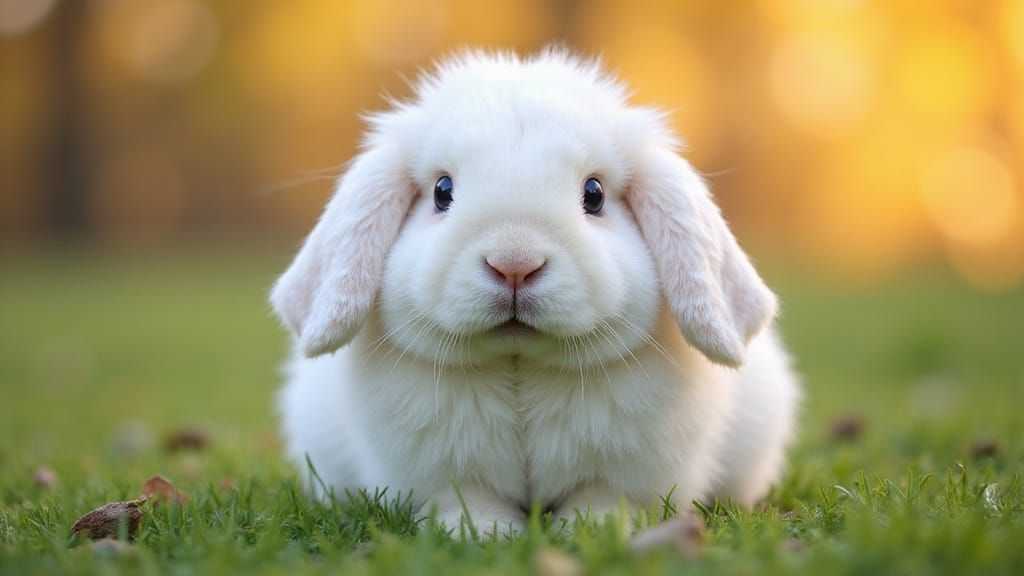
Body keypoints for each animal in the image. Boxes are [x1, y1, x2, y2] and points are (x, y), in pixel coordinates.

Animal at [272, 49, 800, 535]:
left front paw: (589, 530)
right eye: (442, 191)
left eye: (594, 194)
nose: (514, 265)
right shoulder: (444, 475)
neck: (520, 366)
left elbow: (601, 498)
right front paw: (485, 534)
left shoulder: (625, 473)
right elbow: (467, 501)